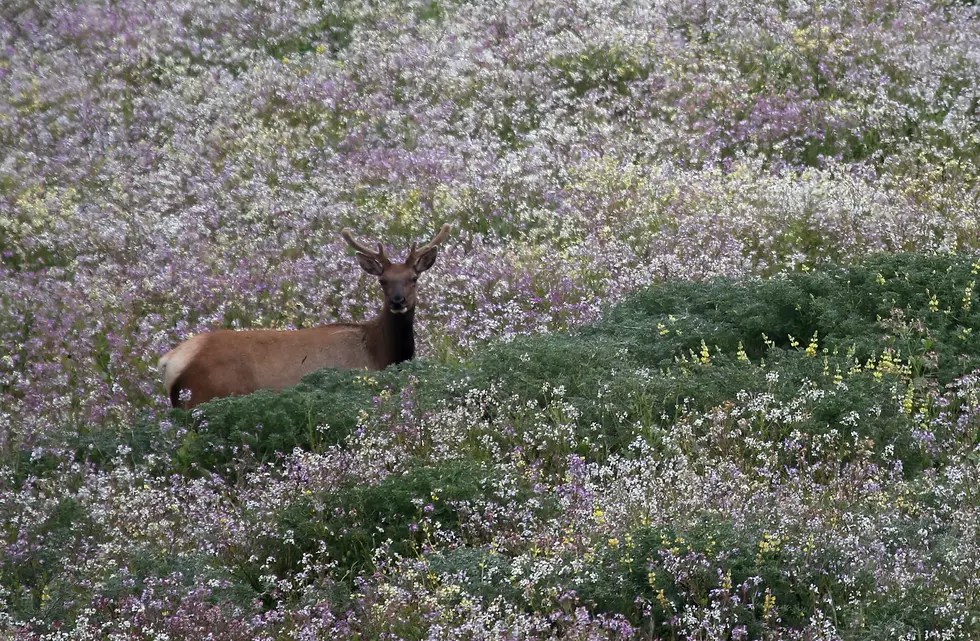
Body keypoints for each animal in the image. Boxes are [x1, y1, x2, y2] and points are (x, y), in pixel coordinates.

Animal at [160, 222, 452, 408]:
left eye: (414, 278)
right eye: (382, 281)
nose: (397, 301)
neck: (380, 352)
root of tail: (170, 360)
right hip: (205, 396)